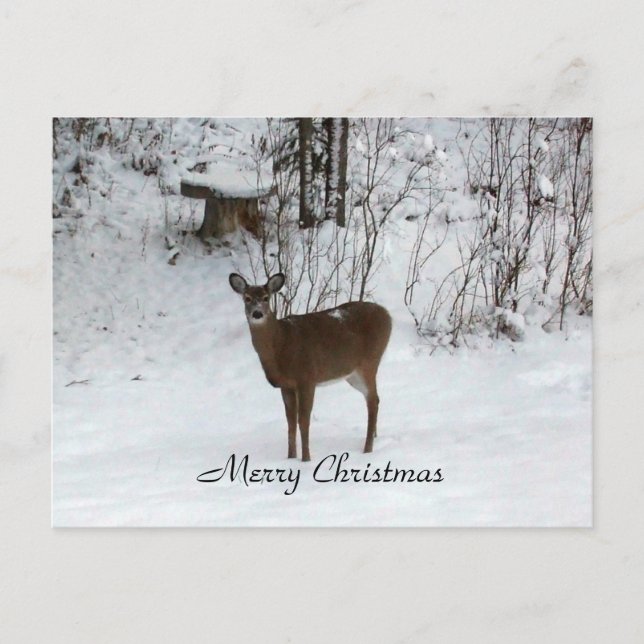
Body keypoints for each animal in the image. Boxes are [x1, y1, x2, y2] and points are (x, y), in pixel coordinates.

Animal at [229, 272, 392, 462]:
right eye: (247, 298)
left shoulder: (307, 378)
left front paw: (306, 459)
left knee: (373, 401)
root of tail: (387, 315)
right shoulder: (287, 385)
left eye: (266, 298)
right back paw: (374, 438)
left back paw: (367, 449)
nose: (257, 313)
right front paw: (290, 457)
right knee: (374, 399)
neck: (281, 343)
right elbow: (290, 422)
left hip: (369, 362)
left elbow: (303, 421)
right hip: (352, 374)